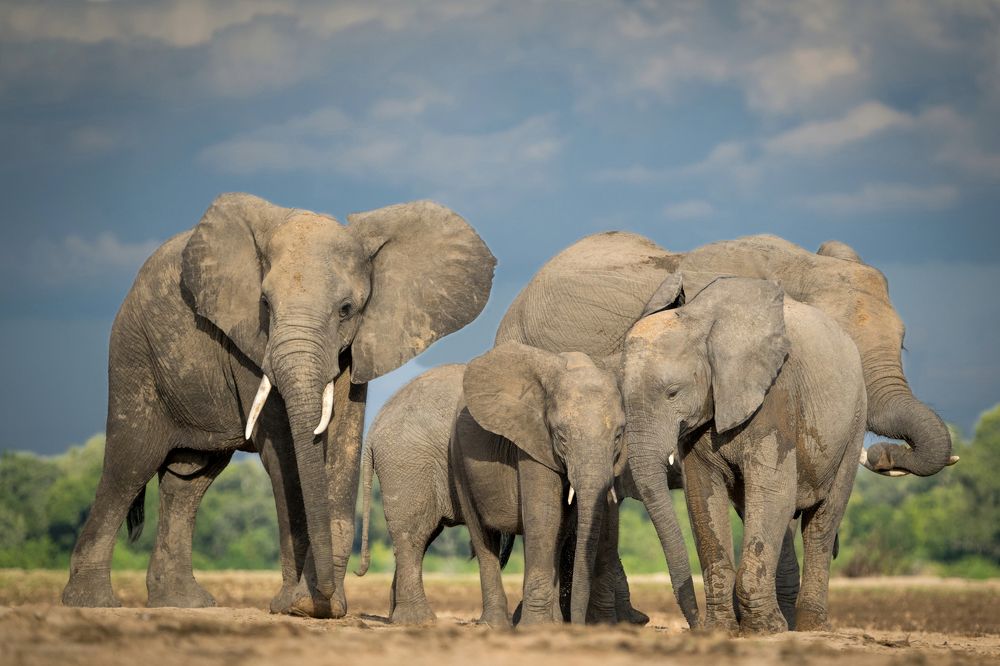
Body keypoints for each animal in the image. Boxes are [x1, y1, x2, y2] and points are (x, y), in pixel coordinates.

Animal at [61, 193, 495, 617]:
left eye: (346, 309)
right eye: (266, 304)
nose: (325, 596)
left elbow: (343, 444)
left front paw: (325, 607)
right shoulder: (250, 342)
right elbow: (285, 456)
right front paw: (297, 606)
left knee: (189, 480)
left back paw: (182, 602)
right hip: (135, 353)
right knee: (131, 462)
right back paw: (91, 602)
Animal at [356, 343, 627, 627]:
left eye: (618, 436)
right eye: (561, 437)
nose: (578, 622)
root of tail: (376, 424)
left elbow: (561, 526)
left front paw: (550, 624)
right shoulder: (529, 442)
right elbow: (544, 518)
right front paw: (537, 627)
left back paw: (398, 618)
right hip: (410, 465)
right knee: (419, 535)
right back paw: (423, 620)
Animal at [621, 276, 866, 634]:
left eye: (672, 393)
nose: (695, 624)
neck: (703, 325)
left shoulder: (776, 395)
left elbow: (772, 489)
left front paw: (765, 631)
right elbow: (703, 497)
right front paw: (722, 630)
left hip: (854, 421)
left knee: (822, 522)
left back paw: (811, 626)